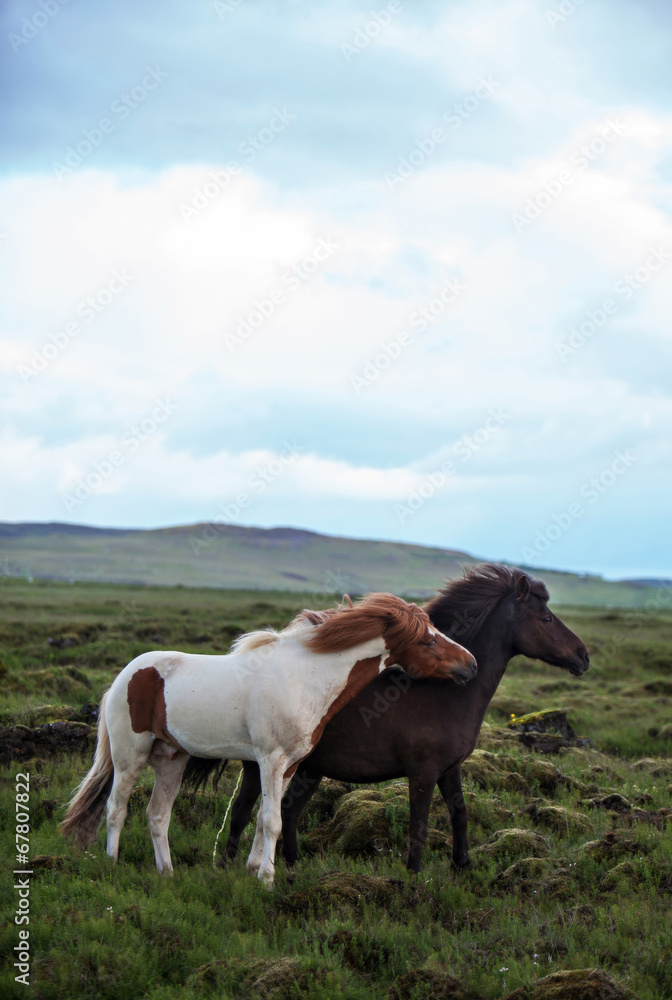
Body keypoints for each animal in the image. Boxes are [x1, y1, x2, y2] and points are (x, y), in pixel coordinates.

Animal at [60, 592, 477, 886]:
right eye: (428, 642)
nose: (470, 664)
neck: (305, 677)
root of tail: (125, 676)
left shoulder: (290, 764)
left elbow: (264, 819)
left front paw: (253, 868)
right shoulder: (269, 759)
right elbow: (272, 819)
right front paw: (266, 878)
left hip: (171, 758)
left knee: (157, 814)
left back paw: (168, 874)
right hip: (130, 757)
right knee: (116, 808)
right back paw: (112, 864)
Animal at [198, 564, 589, 874]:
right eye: (546, 618)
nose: (584, 656)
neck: (445, 695)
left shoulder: (450, 770)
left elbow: (459, 814)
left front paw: (462, 867)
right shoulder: (423, 772)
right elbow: (419, 824)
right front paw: (413, 876)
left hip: (308, 769)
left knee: (289, 812)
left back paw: (293, 866)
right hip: (262, 766)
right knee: (243, 812)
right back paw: (229, 866)